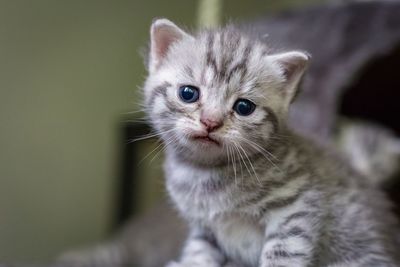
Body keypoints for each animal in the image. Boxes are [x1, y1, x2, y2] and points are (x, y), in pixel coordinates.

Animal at [142, 19, 398, 267]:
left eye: (244, 107)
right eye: (188, 93)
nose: (210, 122)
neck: (205, 172)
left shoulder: (296, 207)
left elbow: (283, 254)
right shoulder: (203, 227)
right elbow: (199, 250)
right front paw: (192, 261)